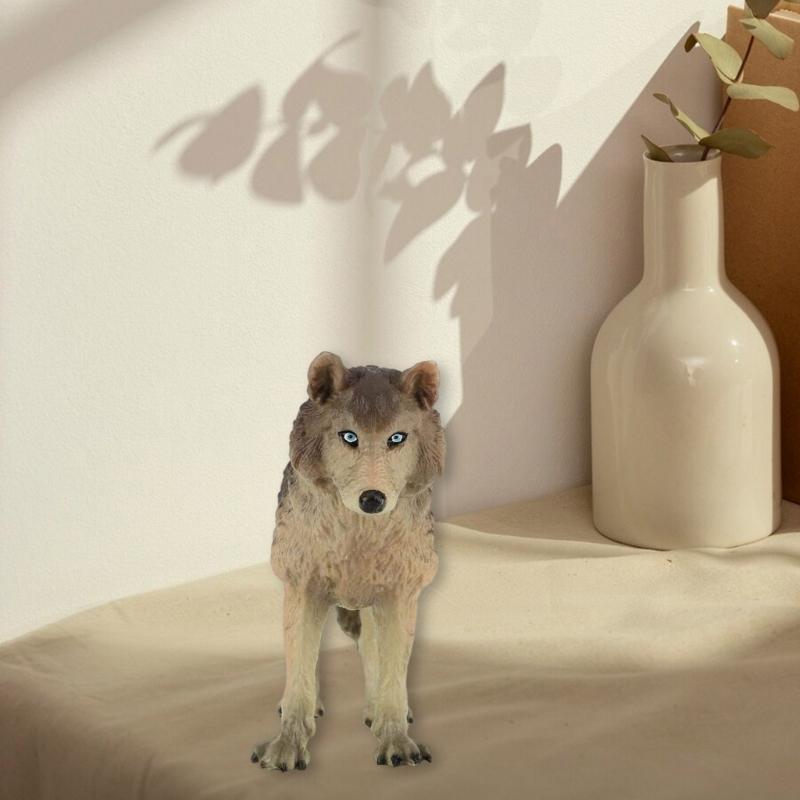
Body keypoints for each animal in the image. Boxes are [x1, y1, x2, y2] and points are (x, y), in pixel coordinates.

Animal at [251, 351, 445, 771]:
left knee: (373, 652)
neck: (358, 538)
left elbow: (392, 675)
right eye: (349, 436)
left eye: (396, 438)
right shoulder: (302, 589)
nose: (372, 499)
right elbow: (300, 676)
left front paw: (395, 740)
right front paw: (286, 747)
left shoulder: (399, 596)